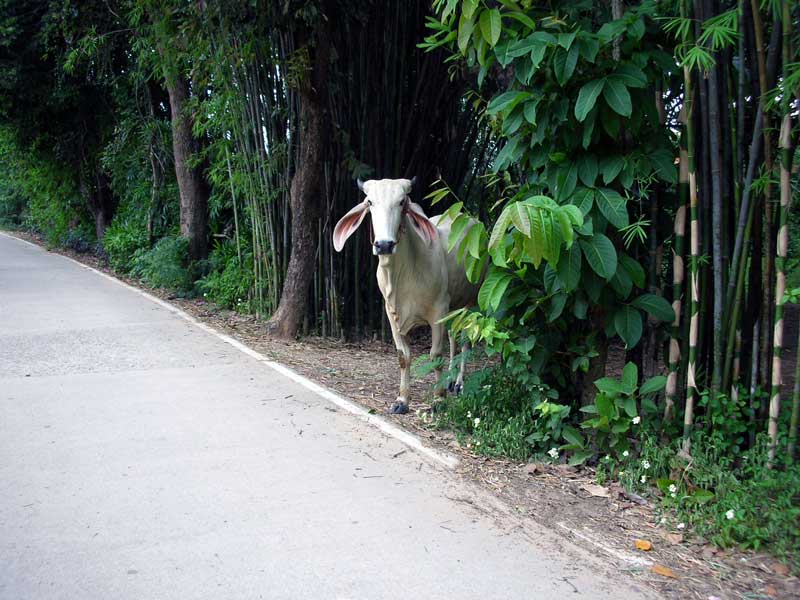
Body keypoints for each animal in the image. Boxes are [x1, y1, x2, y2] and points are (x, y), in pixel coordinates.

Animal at [330, 176, 476, 414]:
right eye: (370, 202)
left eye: (401, 202)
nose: (384, 245)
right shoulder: (392, 314)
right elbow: (403, 356)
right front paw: (402, 400)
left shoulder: (438, 311)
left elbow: (435, 355)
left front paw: (438, 400)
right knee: (454, 338)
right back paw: (449, 381)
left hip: (472, 303)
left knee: (465, 341)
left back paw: (459, 384)